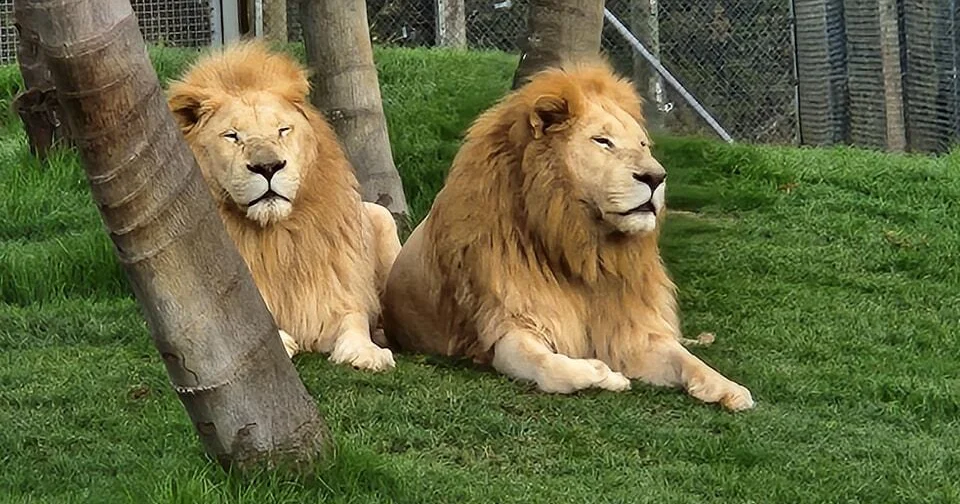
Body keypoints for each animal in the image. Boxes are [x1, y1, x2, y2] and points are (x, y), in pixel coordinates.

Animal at [166, 42, 400, 372]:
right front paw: (283, 342)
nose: (268, 167)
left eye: (282, 130)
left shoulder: (337, 295)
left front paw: (367, 353)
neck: (278, 238)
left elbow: (354, 321)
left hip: (382, 216)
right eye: (232, 136)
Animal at [383, 61, 754, 410]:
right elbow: (551, 366)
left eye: (642, 144)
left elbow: (684, 359)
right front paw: (607, 375)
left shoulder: (631, 331)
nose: (656, 177)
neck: (584, 248)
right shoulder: (508, 326)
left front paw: (730, 388)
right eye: (602, 141)